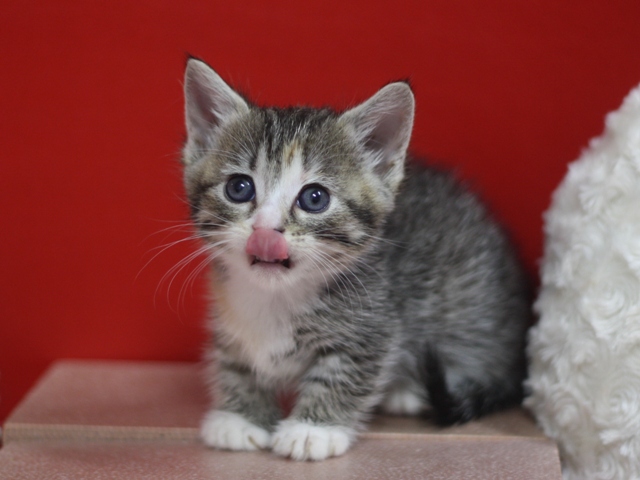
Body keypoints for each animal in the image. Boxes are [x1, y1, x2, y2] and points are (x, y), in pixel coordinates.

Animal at [180, 57, 528, 462]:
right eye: (239, 188)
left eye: (314, 198)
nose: (265, 232)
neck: (276, 296)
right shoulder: (229, 319)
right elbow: (235, 363)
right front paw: (241, 418)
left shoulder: (374, 323)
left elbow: (344, 372)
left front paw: (312, 430)